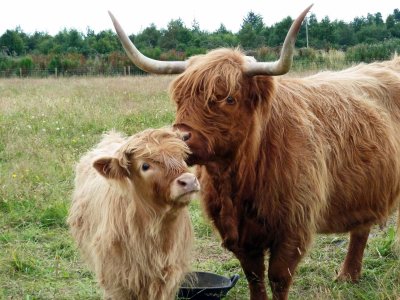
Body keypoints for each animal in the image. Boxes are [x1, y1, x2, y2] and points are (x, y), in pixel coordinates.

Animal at [108, 5, 400, 300]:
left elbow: (279, 277)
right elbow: (254, 275)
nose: (181, 138)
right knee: (361, 228)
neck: (236, 181)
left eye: (229, 99)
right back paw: (348, 275)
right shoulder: (237, 234)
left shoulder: (293, 228)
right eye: (179, 98)